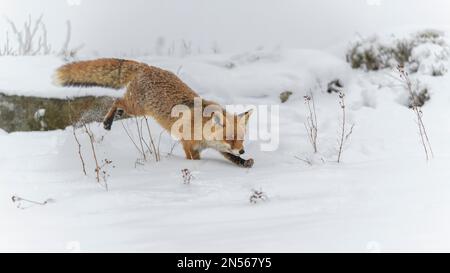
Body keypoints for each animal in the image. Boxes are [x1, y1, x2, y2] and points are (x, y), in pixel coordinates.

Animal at [53, 58, 253, 167]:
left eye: (241, 138)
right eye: (230, 137)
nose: (242, 150)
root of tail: (148, 67)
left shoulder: (217, 147)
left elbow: (232, 157)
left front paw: (244, 162)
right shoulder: (188, 146)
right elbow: (193, 160)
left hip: (134, 110)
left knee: (118, 105)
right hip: (136, 107)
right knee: (116, 101)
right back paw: (107, 122)